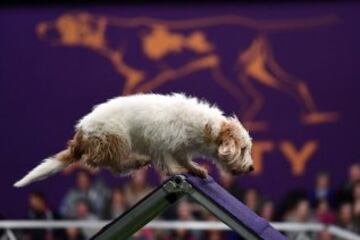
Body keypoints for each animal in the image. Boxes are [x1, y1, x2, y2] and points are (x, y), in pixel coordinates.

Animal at [12, 92, 252, 188]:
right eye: (242, 149)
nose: (251, 168)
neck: (205, 126)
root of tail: (81, 130)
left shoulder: (180, 148)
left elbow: (185, 160)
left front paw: (197, 169)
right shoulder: (161, 144)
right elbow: (168, 162)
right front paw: (177, 171)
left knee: (113, 167)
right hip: (116, 140)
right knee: (108, 164)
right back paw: (137, 161)